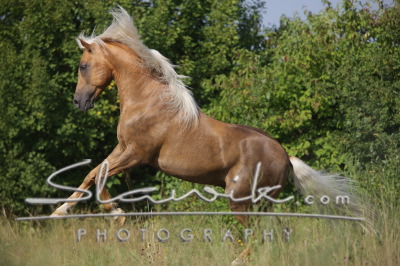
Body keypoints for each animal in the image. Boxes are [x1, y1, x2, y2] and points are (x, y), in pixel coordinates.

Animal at [50, 6, 362, 264]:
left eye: (83, 66)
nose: (78, 102)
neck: (147, 101)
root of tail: (286, 157)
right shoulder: (122, 149)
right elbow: (91, 173)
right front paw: (59, 212)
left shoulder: (136, 154)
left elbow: (100, 173)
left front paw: (117, 215)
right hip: (262, 203)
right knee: (277, 234)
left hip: (241, 200)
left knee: (260, 236)